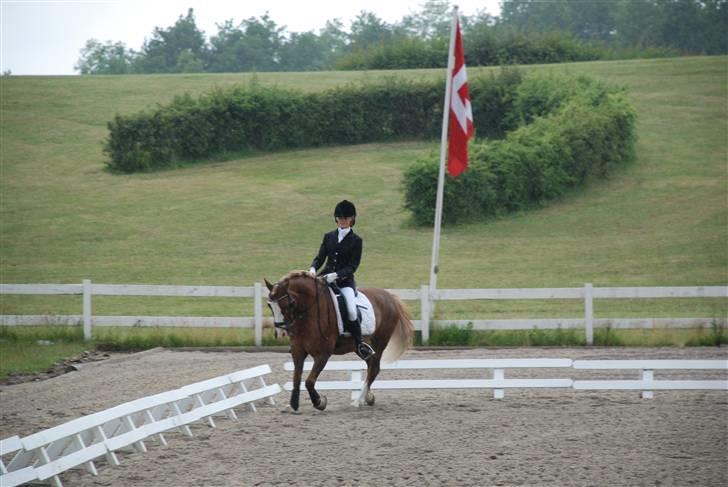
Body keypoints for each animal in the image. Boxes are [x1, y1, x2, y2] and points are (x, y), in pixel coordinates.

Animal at [265, 271, 414, 411]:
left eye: (290, 303)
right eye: (269, 305)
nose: (281, 332)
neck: (309, 313)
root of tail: (389, 296)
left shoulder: (322, 355)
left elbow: (309, 381)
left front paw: (320, 402)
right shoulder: (298, 351)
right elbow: (296, 378)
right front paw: (293, 404)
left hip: (379, 343)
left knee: (374, 369)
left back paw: (357, 401)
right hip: (361, 348)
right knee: (371, 365)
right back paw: (368, 398)